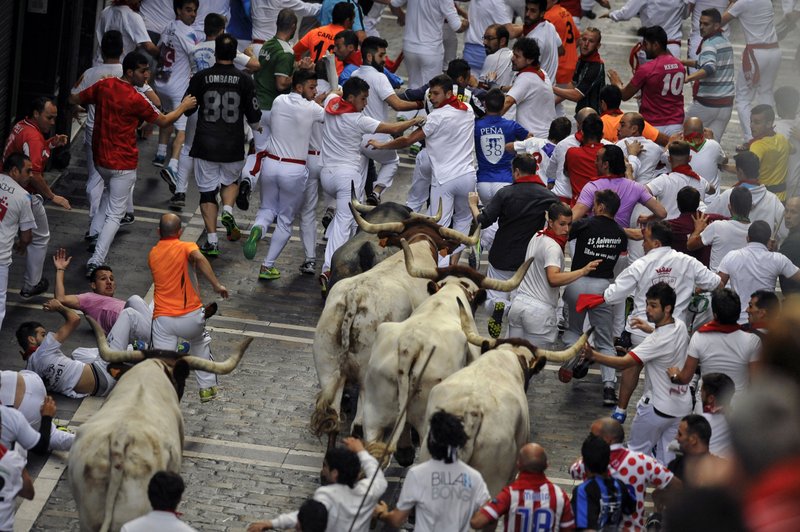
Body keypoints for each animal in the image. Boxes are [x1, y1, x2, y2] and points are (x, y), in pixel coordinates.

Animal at [310, 202, 476, 446]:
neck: (419, 246)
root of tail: (355, 297)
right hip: (367, 376)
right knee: (359, 425)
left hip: (327, 365)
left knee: (334, 417)